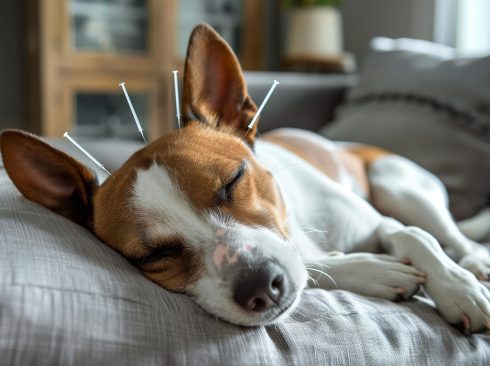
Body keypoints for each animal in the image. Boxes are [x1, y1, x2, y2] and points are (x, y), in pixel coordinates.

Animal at [0, 23, 490, 332]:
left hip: (396, 182)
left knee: (448, 233)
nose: (261, 288)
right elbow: (319, 266)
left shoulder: (378, 222)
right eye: (152, 255)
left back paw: (474, 263)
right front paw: (368, 270)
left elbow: (413, 237)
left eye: (234, 179)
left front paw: (457, 290)